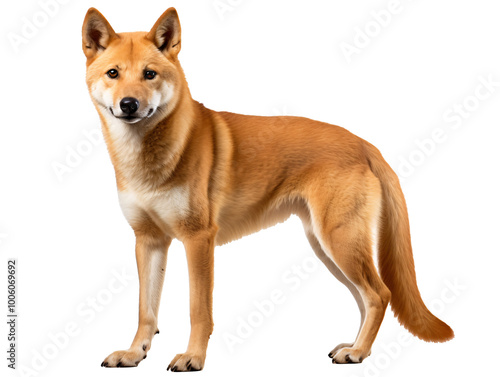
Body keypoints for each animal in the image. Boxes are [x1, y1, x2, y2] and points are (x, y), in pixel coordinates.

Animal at [81, 7, 454, 372]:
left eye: (150, 74)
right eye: (113, 73)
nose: (129, 104)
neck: (149, 158)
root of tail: (364, 143)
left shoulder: (197, 239)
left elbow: (198, 310)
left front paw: (193, 358)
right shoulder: (149, 241)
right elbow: (146, 310)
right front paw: (134, 353)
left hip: (339, 241)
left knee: (379, 294)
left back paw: (358, 352)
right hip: (326, 246)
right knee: (365, 299)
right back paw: (353, 346)